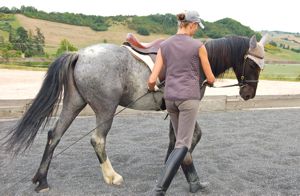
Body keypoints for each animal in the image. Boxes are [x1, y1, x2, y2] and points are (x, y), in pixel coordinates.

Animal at [2, 33, 268, 191]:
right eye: (253, 64)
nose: (249, 94)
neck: (197, 59)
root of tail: (79, 54)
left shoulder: (175, 110)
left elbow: (176, 139)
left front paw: (169, 165)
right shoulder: (186, 108)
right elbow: (190, 138)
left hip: (73, 104)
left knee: (54, 135)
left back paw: (42, 180)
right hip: (105, 109)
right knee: (97, 139)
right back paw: (112, 176)